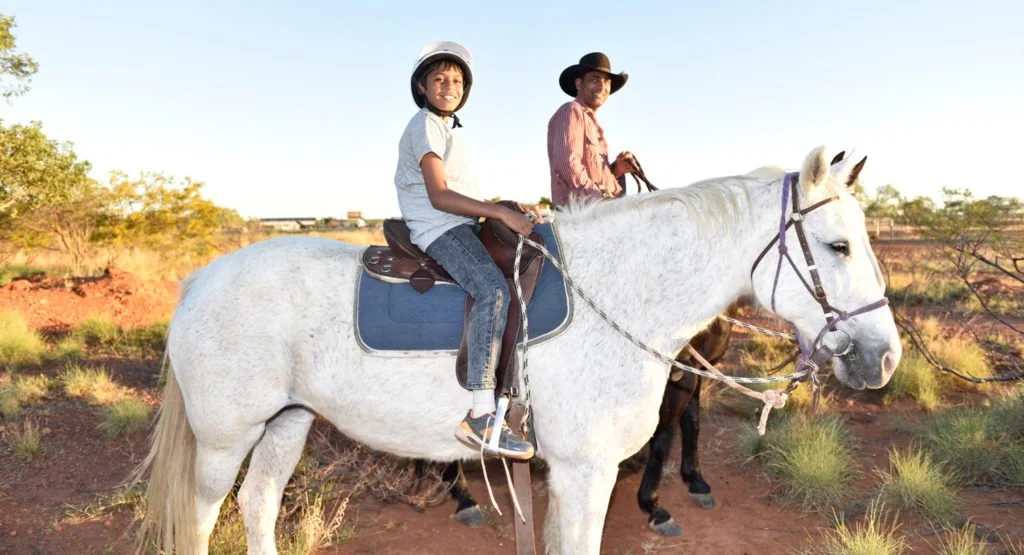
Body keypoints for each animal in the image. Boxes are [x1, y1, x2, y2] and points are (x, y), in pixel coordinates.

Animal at [134, 145, 897, 552]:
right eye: (838, 246)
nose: (884, 356)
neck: (622, 291)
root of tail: (201, 278)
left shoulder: (568, 473)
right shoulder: (586, 471)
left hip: (287, 421)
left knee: (259, 501)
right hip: (225, 436)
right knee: (202, 516)